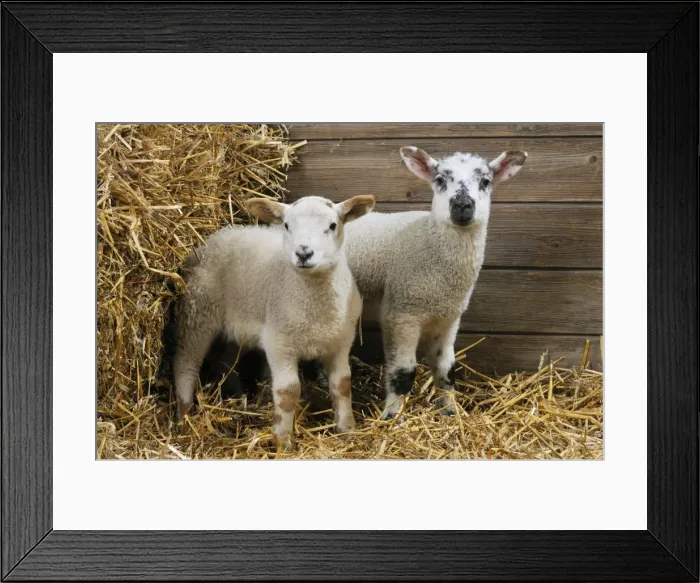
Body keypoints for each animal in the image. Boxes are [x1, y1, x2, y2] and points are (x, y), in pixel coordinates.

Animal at [172, 194, 376, 448]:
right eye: (287, 225)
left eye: (332, 225)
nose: (303, 253)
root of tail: (216, 236)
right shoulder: (279, 343)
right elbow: (288, 392)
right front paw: (283, 441)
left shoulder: (340, 342)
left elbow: (343, 385)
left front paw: (348, 429)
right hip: (197, 312)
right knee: (185, 363)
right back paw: (183, 417)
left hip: (237, 327)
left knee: (225, 362)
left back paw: (239, 396)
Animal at [343, 146, 527, 419]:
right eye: (440, 180)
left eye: (485, 181)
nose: (462, 205)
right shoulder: (402, 313)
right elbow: (404, 371)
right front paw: (392, 416)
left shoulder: (449, 318)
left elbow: (446, 368)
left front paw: (450, 410)